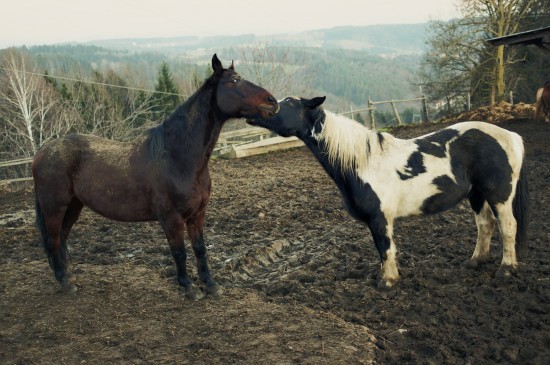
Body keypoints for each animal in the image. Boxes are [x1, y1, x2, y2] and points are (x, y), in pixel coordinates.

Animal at [32, 54, 278, 298]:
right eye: (234, 81)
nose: (272, 102)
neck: (176, 158)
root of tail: (42, 152)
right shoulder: (171, 218)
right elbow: (179, 252)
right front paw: (188, 288)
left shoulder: (197, 215)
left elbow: (200, 249)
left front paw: (211, 285)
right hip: (55, 209)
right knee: (53, 241)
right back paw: (65, 283)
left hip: (74, 206)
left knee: (62, 239)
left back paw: (67, 277)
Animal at [249, 96, 532, 288]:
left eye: (288, 102)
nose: (255, 109)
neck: (363, 162)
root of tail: (511, 135)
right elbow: (381, 250)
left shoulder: (380, 218)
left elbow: (385, 248)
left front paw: (387, 281)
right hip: (476, 195)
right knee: (485, 225)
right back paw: (475, 261)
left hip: (499, 195)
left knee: (508, 226)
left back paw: (506, 269)